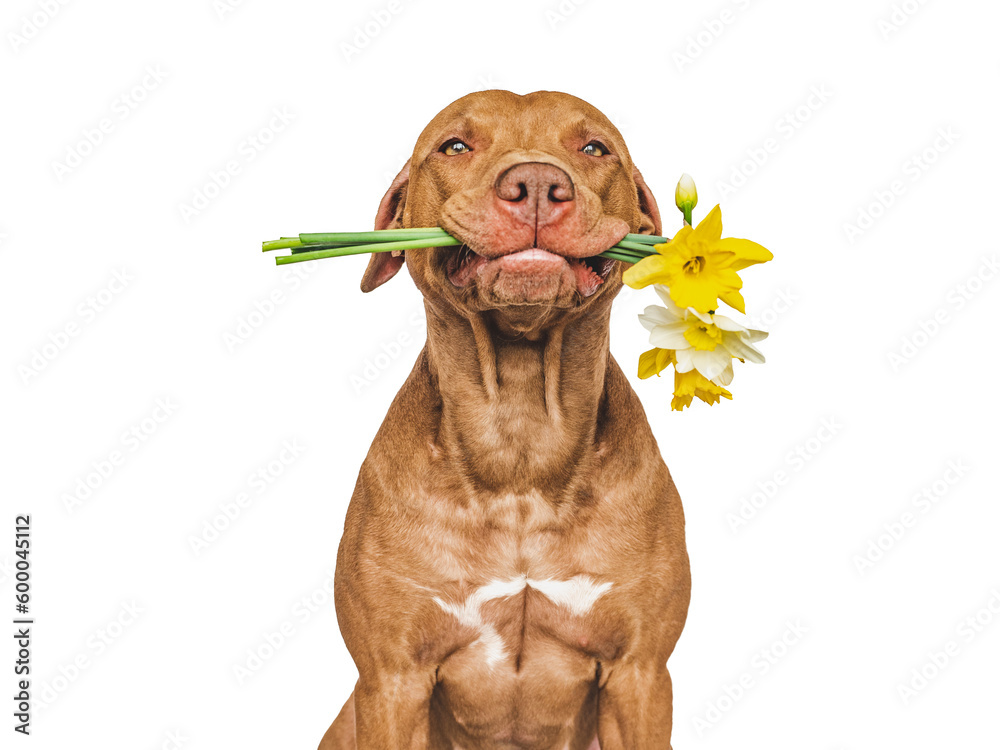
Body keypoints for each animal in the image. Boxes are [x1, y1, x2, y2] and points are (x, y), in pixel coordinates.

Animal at [320, 91, 688, 748]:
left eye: (594, 148)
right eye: (455, 146)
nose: (536, 183)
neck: (521, 435)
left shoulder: (640, 674)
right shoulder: (391, 679)